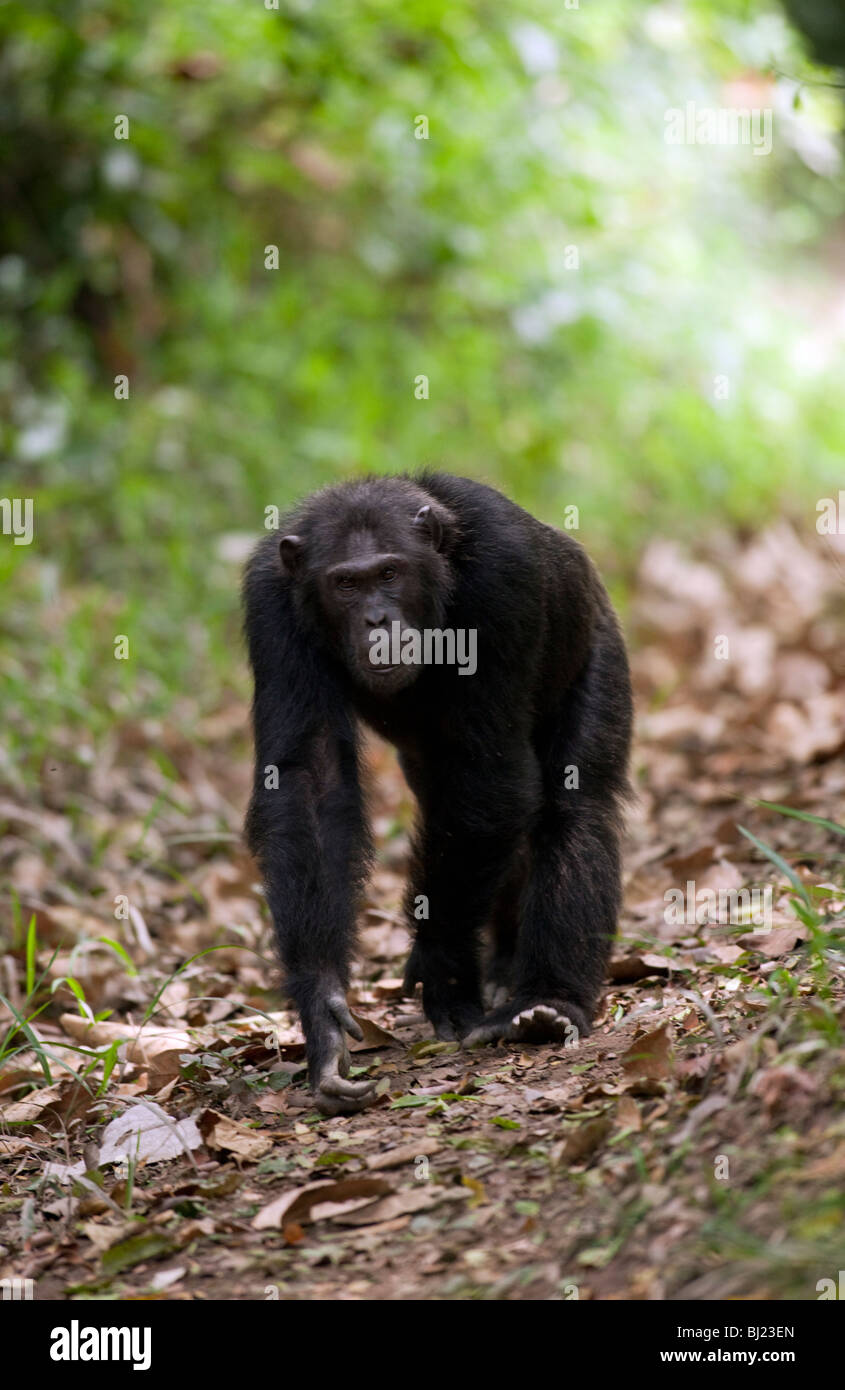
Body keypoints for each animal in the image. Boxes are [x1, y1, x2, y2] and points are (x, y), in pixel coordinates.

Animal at [240, 472, 630, 1112]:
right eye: (346, 583)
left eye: (389, 573)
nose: (376, 618)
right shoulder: (270, 607)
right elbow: (310, 782)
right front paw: (323, 1009)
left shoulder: (506, 578)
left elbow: (491, 778)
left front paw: (444, 965)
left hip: (597, 644)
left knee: (575, 807)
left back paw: (546, 1002)